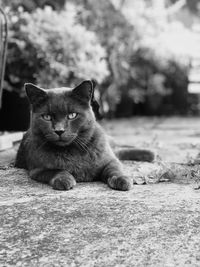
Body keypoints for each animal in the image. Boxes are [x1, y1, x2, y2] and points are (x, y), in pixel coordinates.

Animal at [14, 80, 154, 192]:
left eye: (72, 115)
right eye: (47, 117)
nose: (59, 130)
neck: (72, 150)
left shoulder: (109, 159)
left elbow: (114, 168)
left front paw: (122, 179)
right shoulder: (37, 170)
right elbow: (56, 170)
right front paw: (64, 179)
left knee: (120, 149)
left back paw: (151, 153)